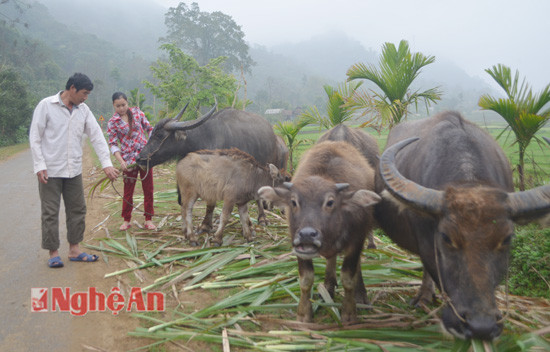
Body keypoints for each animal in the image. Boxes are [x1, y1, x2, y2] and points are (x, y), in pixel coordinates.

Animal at [138, 105, 288, 226]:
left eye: (159, 135)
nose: (139, 158)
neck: (203, 140)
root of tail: (274, 137)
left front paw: (207, 225)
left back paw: (262, 218)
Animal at [260, 142, 382, 324]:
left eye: (330, 202)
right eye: (293, 202)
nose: (307, 235)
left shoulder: (356, 241)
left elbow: (348, 277)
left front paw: (349, 313)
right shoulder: (299, 246)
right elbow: (306, 279)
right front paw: (304, 313)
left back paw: (361, 295)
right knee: (331, 260)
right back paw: (328, 288)